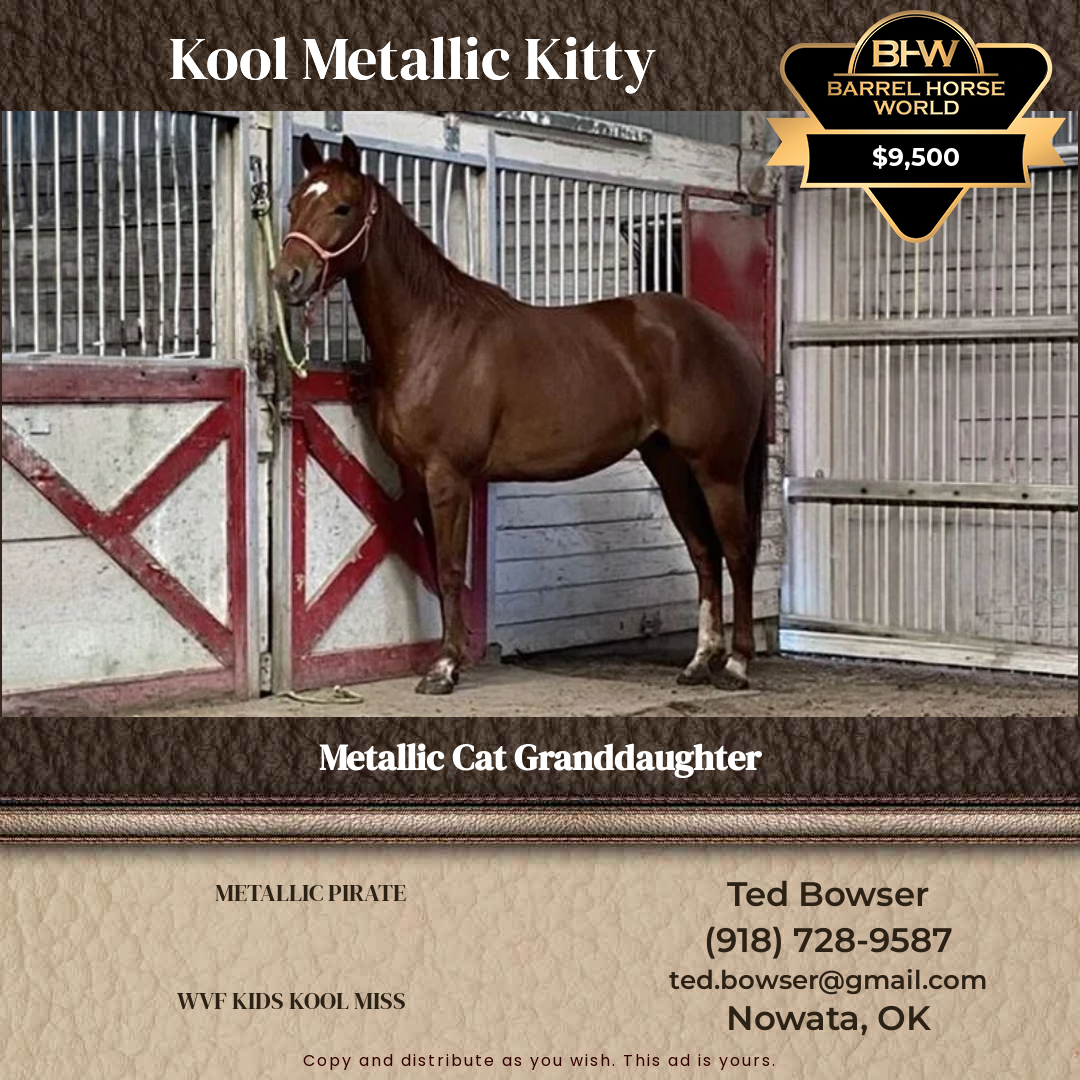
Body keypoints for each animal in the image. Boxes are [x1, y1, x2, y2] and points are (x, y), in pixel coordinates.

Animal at [273, 134, 768, 696]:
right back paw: (699, 662)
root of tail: (731, 339)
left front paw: (444, 668)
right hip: (671, 466)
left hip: (718, 471)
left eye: (342, 207)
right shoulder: (415, 476)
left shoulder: (448, 476)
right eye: (293, 204)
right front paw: (446, 658)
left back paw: (736, 664)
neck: (431, 333)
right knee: (704, 553)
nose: (287, 278)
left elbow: (450, 569)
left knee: (737, 553)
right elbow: (436, 567)